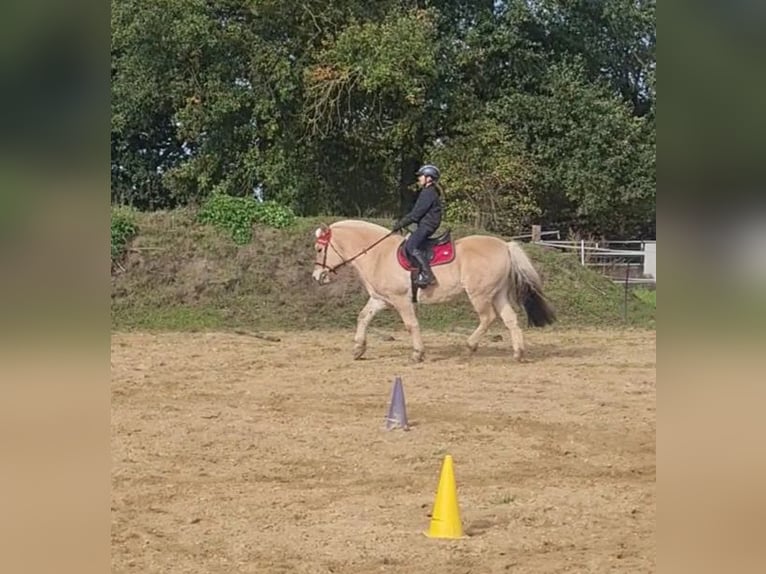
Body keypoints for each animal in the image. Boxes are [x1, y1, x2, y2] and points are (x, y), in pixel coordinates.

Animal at [311, 219, 556, 362]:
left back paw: (468, 348)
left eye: (319, 249)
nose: (317, 277)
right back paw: (518, 353)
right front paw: (358, 349)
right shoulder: (381, 299)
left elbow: (411, 325)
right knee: (510, 319)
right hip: (498, 294)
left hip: (480, 294)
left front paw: (418, 353)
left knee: (488, 318)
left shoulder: (401, 300)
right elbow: (363, 317)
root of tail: (505, 245)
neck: (378, 254)